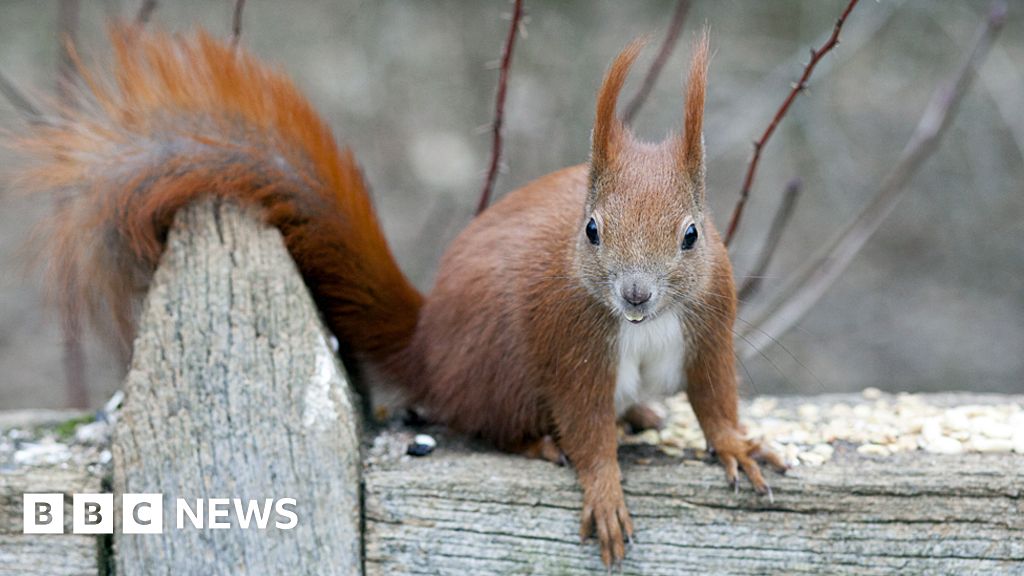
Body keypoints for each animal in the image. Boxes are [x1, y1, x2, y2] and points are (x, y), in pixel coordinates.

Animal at [9, 25, 782, 561]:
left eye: (693, 235)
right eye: (591, 229)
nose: (635, 295)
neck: (647, 325)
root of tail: (427, 349)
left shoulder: (710, 328)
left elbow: (715, 398)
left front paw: (737, 446)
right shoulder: (573, 346)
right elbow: (586, 426)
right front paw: (606, 489)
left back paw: (643, 413)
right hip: (497, 367)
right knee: (488, 419)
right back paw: (538, 442)